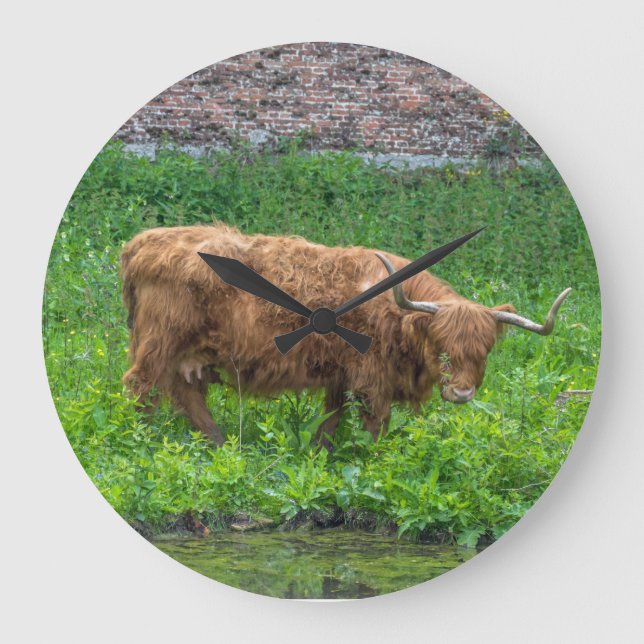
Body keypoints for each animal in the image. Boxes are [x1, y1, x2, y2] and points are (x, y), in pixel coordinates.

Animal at [120, 223, 571, 447]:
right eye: (442, 347)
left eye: (485, 349)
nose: (461, 393)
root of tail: (142, 241)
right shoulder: (372, 377)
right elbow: (375, 424)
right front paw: (373, 460)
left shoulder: (340, 374)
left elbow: (330, 421)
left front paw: (320, 455)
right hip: (159, 341)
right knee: (141, 386)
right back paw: (141, 442)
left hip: (187, 355)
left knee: (186, 395)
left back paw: (221, 444)